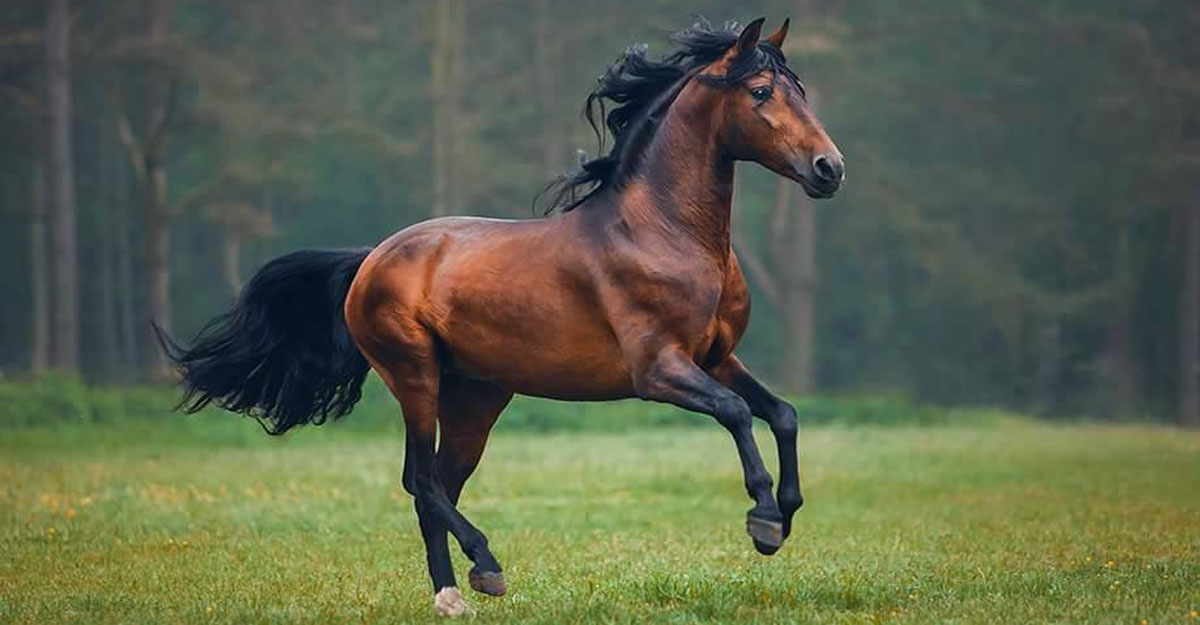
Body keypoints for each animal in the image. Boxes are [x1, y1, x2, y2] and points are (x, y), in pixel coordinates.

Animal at [162, 17, 844, 614]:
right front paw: (763, 521)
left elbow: (782, 413)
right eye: (761, 92)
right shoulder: (658, 370)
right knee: (421, 480)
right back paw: (482, 569)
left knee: (436, 482)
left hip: (476, 396)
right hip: (415, 376)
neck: (665, 233)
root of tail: (371, 259)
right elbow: (737, 414)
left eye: (801, 91)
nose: (829, 169)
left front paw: (788, 511)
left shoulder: (717, 358)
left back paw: (454, 592)